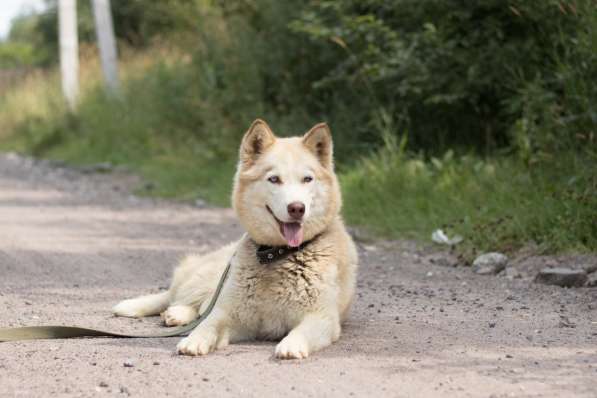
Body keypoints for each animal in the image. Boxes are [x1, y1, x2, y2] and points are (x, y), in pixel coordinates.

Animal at [114, 119, 360, 360]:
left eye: (307, 179)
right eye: (274, 179)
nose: (297, 208)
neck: (277, 255)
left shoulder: (321, 318)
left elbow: (302, 331)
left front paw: (291, 345)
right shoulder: (233, 315)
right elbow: (209, 325)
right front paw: (194, 339)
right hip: (213, 280)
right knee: (184, 300)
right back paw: (176, 313)